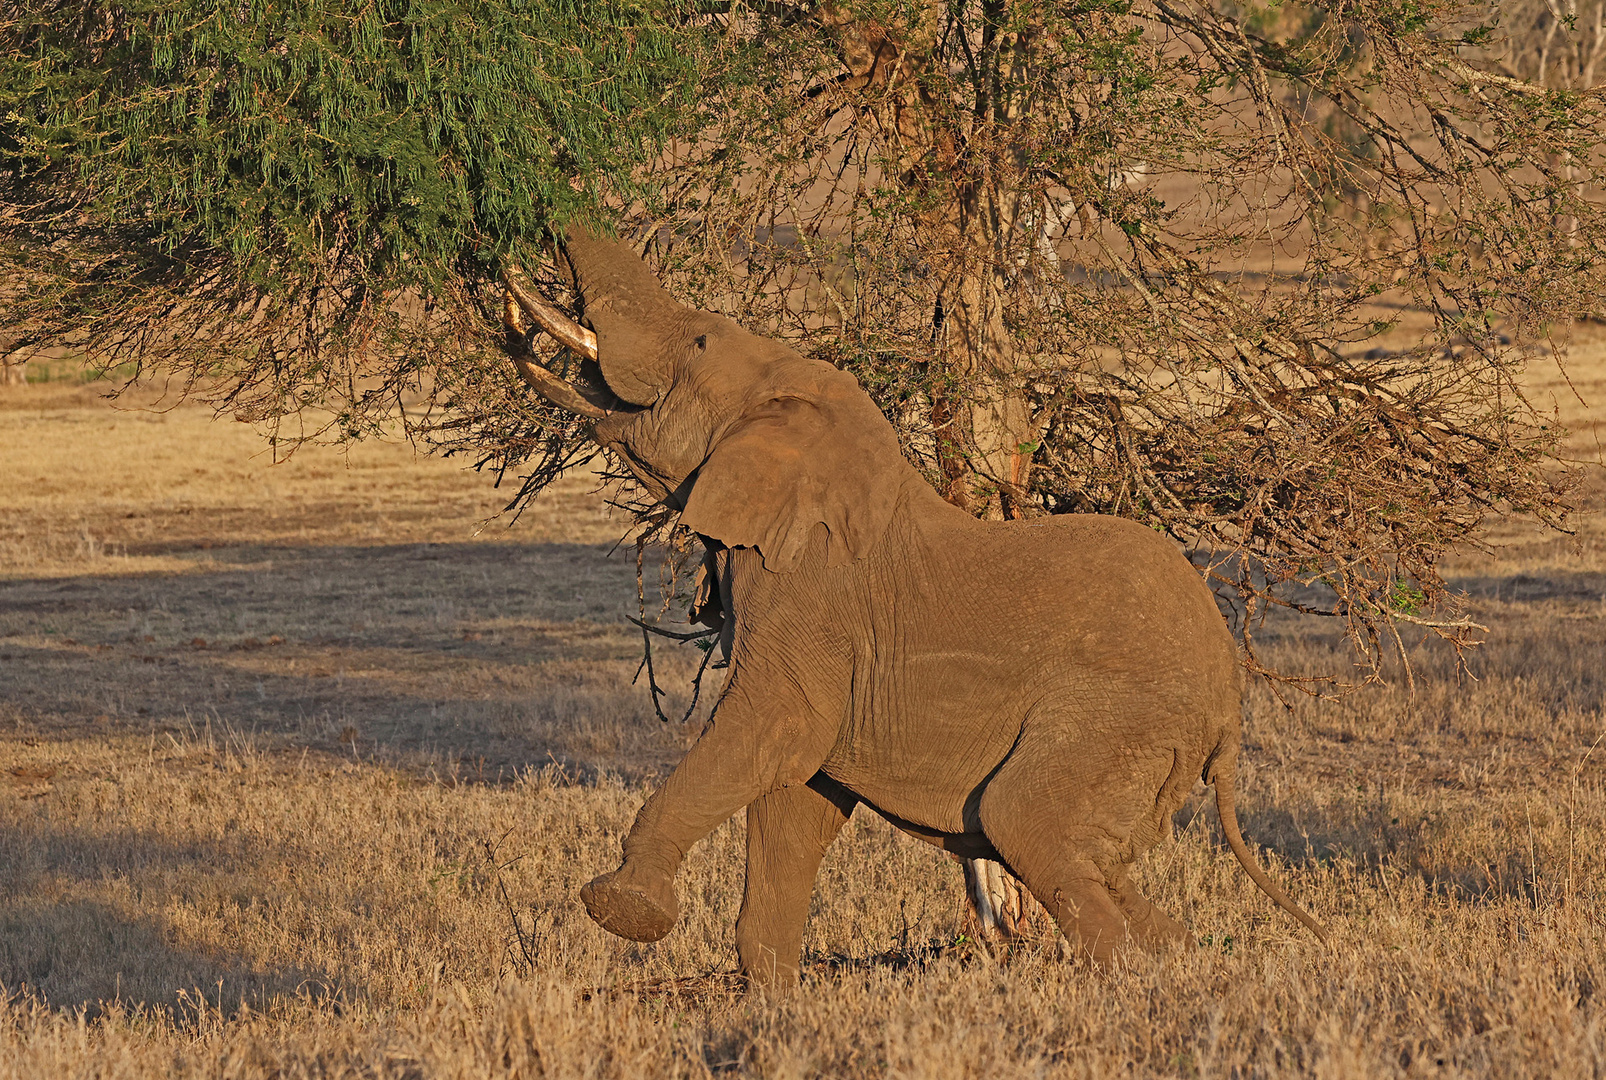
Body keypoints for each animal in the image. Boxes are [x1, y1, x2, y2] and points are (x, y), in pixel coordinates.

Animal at [507, 228, 1323, 989]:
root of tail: (1230, 712)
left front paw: (621, 907)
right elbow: (796, 789)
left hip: (1117, 721)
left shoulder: (811, 593)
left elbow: (776, 727)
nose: (538, 230)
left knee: (1029, 827)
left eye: (701, 341)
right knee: (1099, 868)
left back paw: (1131, 984)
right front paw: (772, 1000)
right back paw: (1185, 964)